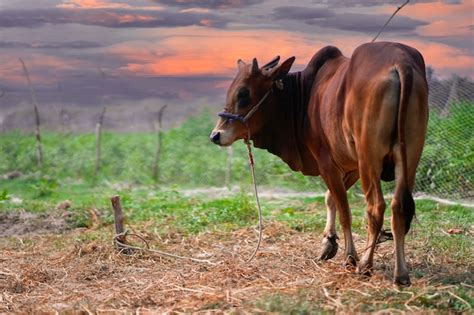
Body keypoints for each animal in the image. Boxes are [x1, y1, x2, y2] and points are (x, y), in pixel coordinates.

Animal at [209, 42, 428, 286]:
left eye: (244, 93)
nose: (216, 135)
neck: (306, 95)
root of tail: (401, 63)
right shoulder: (350, 165)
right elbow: (330, 198)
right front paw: (328, 243)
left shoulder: (328, 162)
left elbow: (344, 211)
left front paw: (349, 256)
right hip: (409, 157)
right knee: (399, 207)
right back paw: (401, 274)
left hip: (369, 158)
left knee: (376, 207)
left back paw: (364, 265)